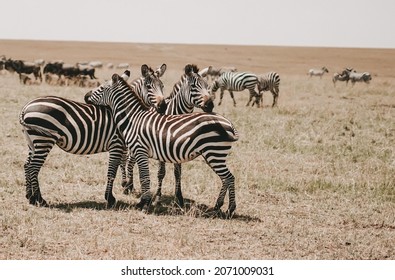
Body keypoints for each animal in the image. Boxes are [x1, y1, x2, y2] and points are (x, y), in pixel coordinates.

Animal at [19, 64, 166, 207]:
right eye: (148, 86)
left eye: (162, 86)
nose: (163, 106)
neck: (128, 113)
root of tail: (26, 107)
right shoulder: (117, 144)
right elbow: (113, 170)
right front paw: (111, 198)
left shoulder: (123, 145)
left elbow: (122, 164)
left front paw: (125, 186)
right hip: (44, 140)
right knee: (33, 167)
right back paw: (39, 199)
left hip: (32, 141)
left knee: (27, 165)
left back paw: (29, 196)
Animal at [85, 72, 240, 219]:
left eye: (101, 88)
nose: (86, 96)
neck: (133, 118)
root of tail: (228, 123)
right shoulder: (139, 152)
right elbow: (143, 176)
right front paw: (144, 200)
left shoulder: (140, 150)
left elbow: (144, 177)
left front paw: (144, 203)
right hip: (214, 154)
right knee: (225, 179)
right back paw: (217, 206)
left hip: (214, 153)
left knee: (229, 178)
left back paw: (230, 209)